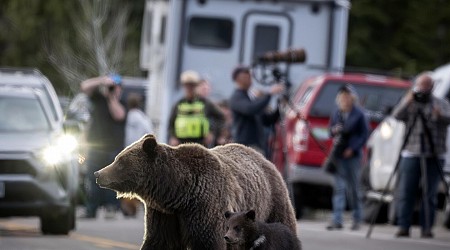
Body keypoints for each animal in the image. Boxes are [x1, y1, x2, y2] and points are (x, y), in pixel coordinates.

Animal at [96, 135, 296, 250]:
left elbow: (209, 242)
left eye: (120, 162)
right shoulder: (165, 215)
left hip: (272, 205)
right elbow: (159, 242)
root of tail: (265, 159)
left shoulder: (206, 208)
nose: (98, 174)